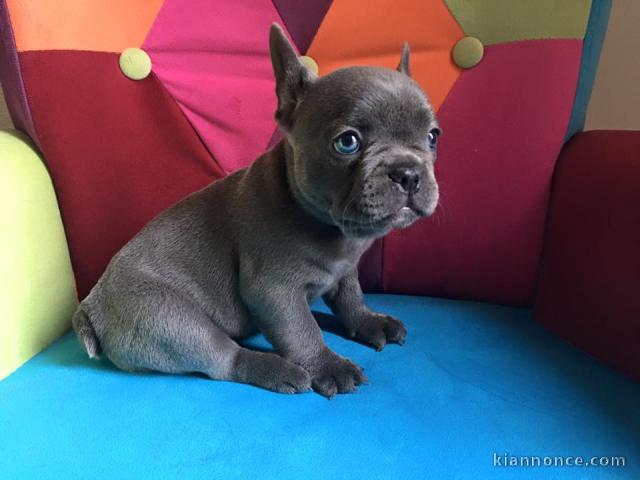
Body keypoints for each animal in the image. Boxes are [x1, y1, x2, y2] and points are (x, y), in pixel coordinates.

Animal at [71, 23, 440, 398]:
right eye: (347, 142)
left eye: (432, 136)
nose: (408, 173)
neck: (328, 226)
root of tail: (90, 305)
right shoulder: (275, 291)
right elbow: (302, 330)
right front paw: (329, 366)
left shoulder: (345, 270)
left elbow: (351, 298)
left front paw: (368, 321)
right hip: (167, 318)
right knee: (222, 356)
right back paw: (276, 369)